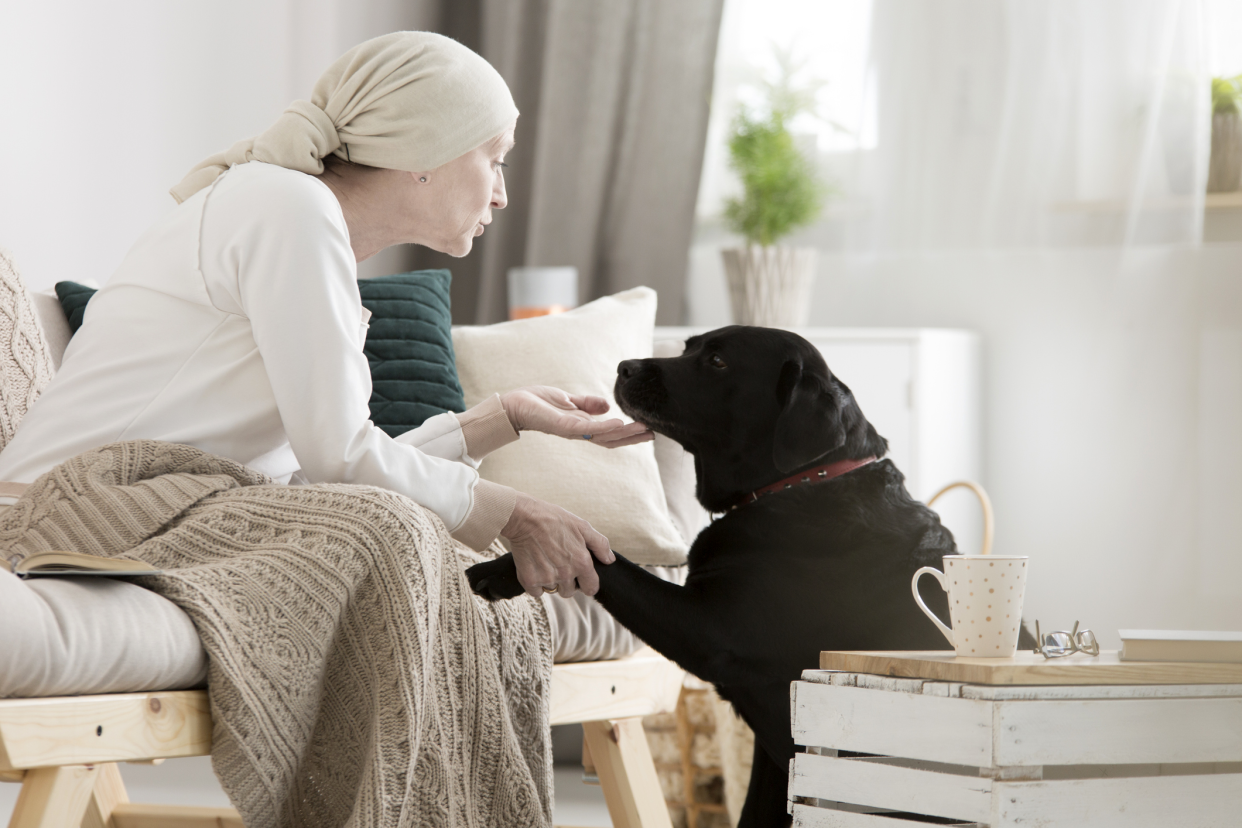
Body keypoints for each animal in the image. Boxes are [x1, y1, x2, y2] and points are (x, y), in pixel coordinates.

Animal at [469, 327, 1013, 824]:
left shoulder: (709, 632)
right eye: (688, 347)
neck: (799, 483)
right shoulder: (780, 760)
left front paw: (510, 564)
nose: (624, 366)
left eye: (717, 361)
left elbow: (605, 556)